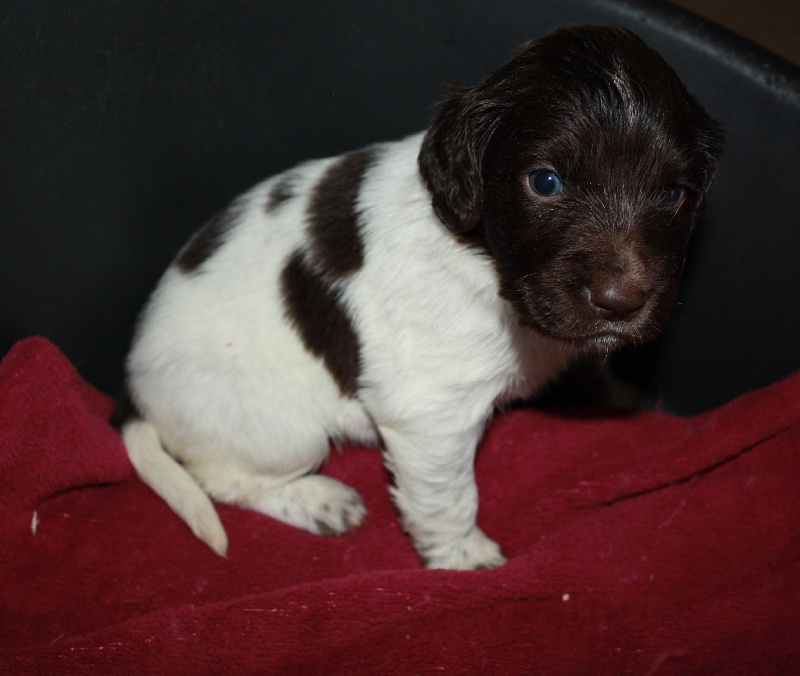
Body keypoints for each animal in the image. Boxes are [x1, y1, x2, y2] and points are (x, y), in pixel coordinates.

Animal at [113, 25, 723, 570]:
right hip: (283, 432)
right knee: (222, 479)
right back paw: (318, 500)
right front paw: (463, 558)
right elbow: (450, 498)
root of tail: (131, 395)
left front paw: (618, 394)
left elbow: (588, 363)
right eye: (546, 182)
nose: (621, 301)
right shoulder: (431, 417)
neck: (484, 259)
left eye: (675, 194)